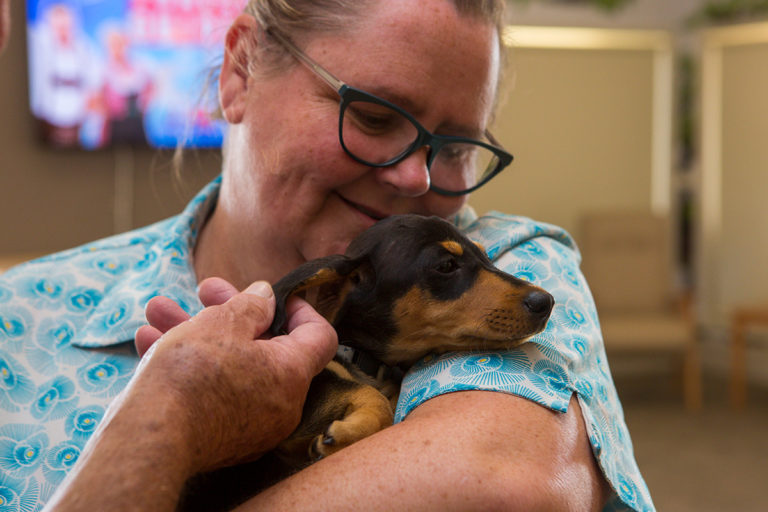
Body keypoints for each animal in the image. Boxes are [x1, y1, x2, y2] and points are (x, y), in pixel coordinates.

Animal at [183, 214, 556, 510]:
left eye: (485, 255)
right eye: (446, 266)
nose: (547, 302)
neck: (362, 357)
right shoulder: (305, 397)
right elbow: (367, 394)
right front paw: (347, 434)